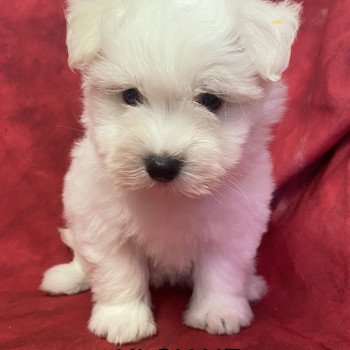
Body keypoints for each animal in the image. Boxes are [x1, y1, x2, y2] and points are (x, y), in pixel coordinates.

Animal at [40, 0, 298, 344]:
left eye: (211, 100)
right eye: (130, 95)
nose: (161, 165)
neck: (168, 197)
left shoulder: (232, 229)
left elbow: (223, 272)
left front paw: (219, 312)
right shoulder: (103, 223)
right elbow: (116, 271)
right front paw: (123, 318)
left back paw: (252, 285)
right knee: (83, 258)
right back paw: (67, 277)